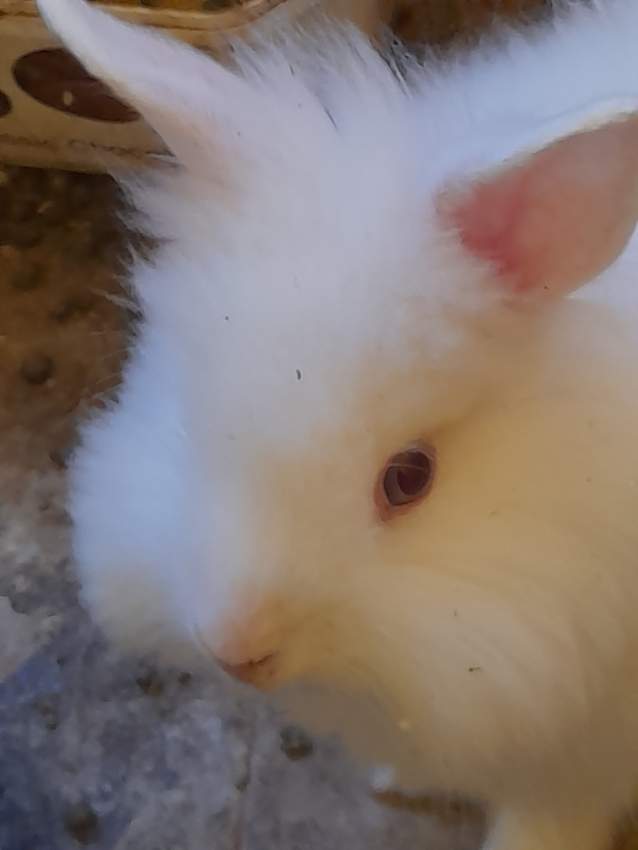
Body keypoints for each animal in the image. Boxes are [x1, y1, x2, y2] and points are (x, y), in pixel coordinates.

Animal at [40, 0, 638, 844]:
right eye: (190, 413)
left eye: (409, 478)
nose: (235, 647)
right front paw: (397, 779)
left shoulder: (588, 746)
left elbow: (555, 810)